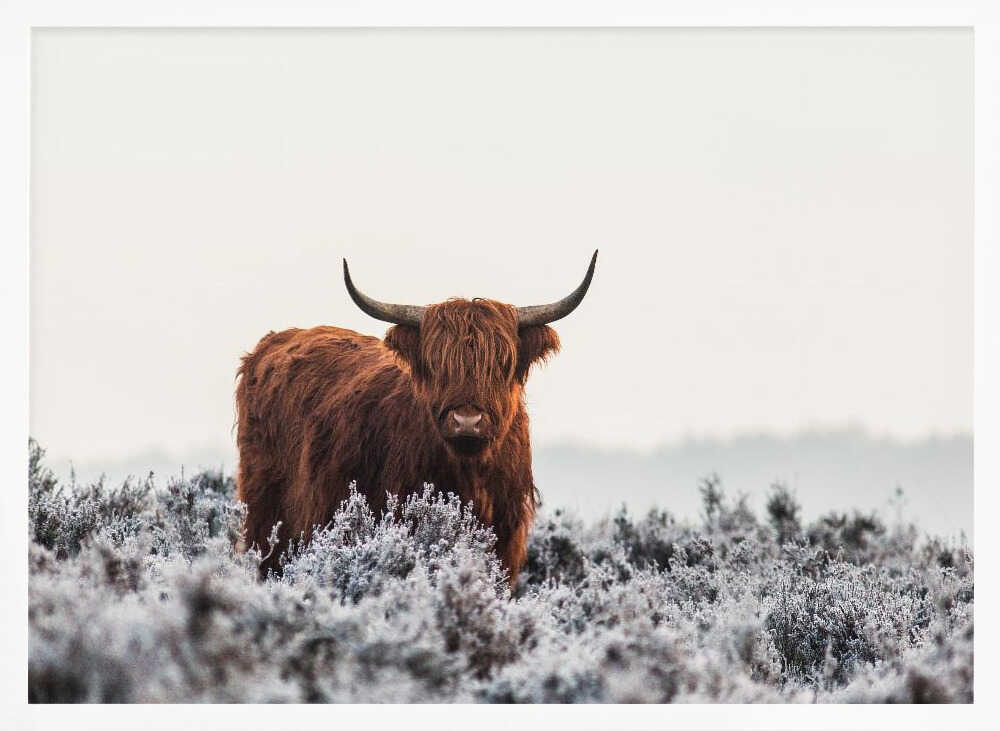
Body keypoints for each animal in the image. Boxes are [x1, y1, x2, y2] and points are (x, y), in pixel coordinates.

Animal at [235, 251, 597, 585]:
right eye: (436, 363)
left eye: (501, 363)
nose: (467, 421)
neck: (469, 473)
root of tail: (274, 341)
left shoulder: (506, 541)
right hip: (265, 513)